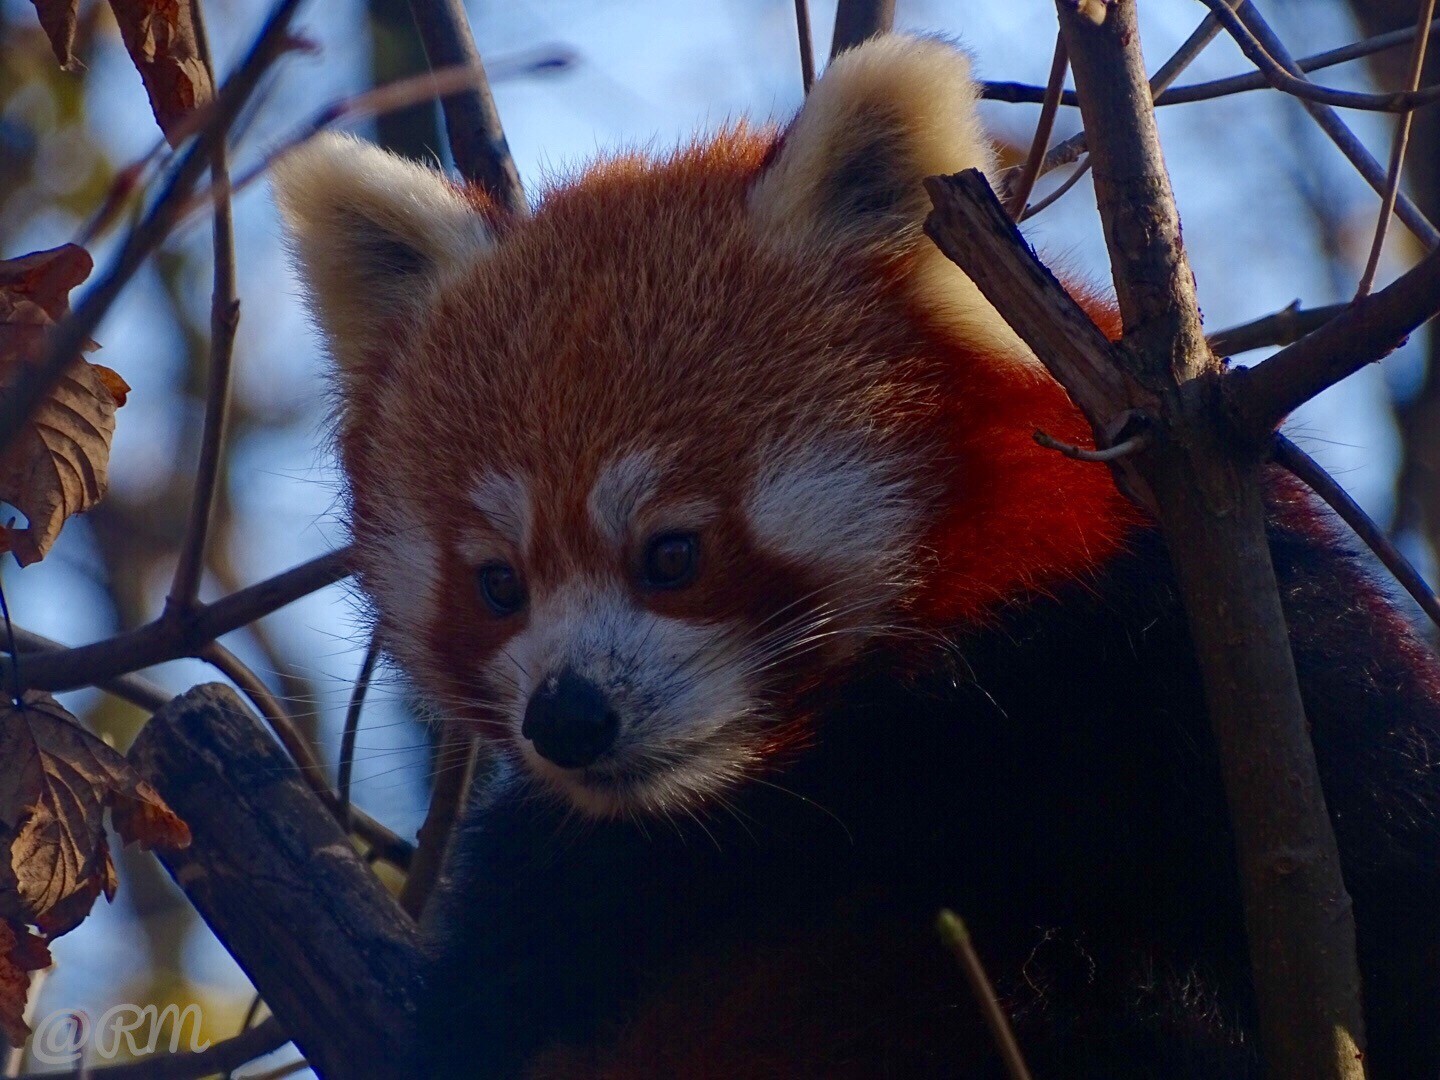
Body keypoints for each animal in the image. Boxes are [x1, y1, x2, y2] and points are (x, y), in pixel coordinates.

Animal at [272, 36, 1440, 1080]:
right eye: (498, 584)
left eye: (671, 553)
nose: (567, 718)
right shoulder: (575, 878)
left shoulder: (1206, 645)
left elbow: (1387, 873)